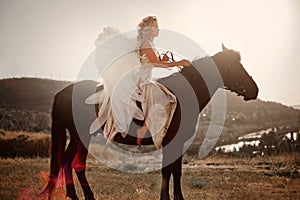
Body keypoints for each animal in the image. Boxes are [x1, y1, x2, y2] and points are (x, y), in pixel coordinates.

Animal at [41, 44, 258, 199]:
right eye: (235, 66)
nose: (254, 90)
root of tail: (63, 92)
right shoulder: (172, 140)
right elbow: (168, 171)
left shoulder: (177, 142)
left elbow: (175, 171)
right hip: (80, 135)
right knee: (68, 162)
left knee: (74, 163)